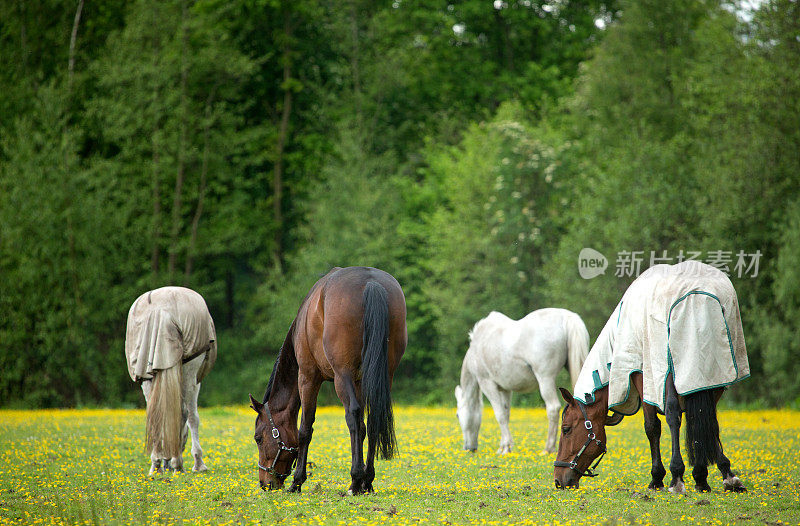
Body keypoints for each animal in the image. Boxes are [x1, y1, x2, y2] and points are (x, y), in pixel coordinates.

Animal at [123, 286, 216, 476]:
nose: (166, 465)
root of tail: (161, 310)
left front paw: (164, 460)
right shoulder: (196, 381)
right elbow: (192, 418)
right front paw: (197, 463)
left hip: (146, 376)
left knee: (155, 415)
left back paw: (157, 464)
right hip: (189, 370)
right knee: (186, 413)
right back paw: (181, 463)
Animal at [250, 268, 406, 496]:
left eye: (258, 438)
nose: (265, 483)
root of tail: (371, 282)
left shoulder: (308, 377)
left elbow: (305, 429)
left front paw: (297, 481)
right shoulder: (359, 381)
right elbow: (363, 428)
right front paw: (364, 480)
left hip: (342, 376)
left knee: (353, 416)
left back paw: (355, 480)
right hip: (385, 374)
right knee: (372, 419)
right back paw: (367, 481)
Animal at [454, 312, 592, 456]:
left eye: (457, 415)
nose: (469, 448)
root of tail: (568, 318)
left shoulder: (487, 383)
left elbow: (500, 415)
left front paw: (506, 447)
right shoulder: (505, 390)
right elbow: (506, 414)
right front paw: (503, 447)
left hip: (545, 378)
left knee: (553, 408)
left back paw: (548, 449)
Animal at [556, 262, 752, 496]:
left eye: (566, 429)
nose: (559, 480)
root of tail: (695, 298)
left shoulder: (643, 377)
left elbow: (652, 427)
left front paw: (658, 477)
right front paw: (709, 474)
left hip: (664, 373)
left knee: (673, 416)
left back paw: (677, 476)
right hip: (713, 379)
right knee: (707, 420)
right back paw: (714, 476)